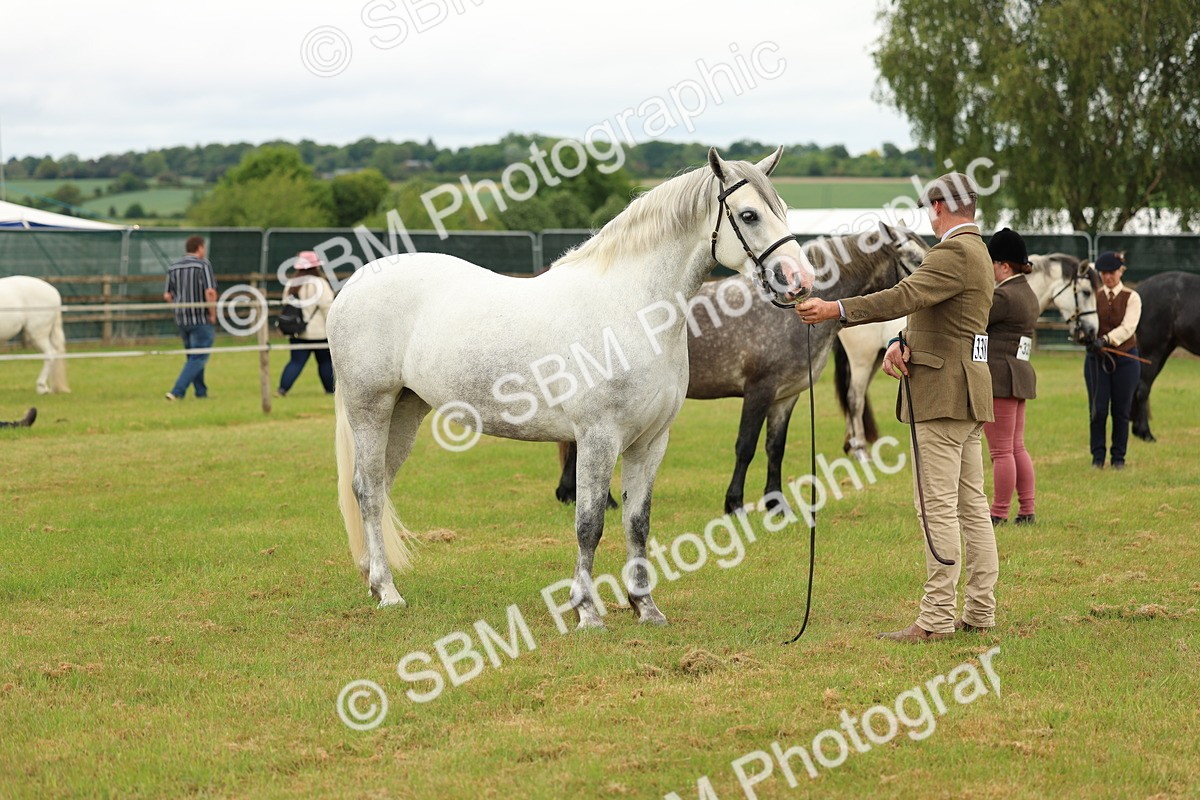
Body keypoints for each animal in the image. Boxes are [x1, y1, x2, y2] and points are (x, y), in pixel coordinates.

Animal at [327, 147, 814, 627]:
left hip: (406, 410)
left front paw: (645, 606)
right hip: (371, 407)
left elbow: (638, 522)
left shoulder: (650, 441)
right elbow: (589, 523)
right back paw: (389, 592)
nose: (800, 280)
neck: (632, 309)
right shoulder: (598, 437)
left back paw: (374, 580)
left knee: (380, 487)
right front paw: (586, 611)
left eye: (783, 210)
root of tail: (352, 286)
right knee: (367, 490)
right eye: (749, 214)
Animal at [554, 224, 929, 515]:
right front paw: (734, 503)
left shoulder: (786, 397)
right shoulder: (758, 391)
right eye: (914, 258)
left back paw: (570, 494)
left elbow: (775, 448)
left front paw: (776, 504)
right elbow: (746, 446)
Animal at [833, 253, 1100, 461]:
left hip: (875, 359)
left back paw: (851, 445)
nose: (1091, 332)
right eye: (1087, 292)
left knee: (855, 401)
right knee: (855, 399)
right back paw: (861, 450)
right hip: (862, 359)